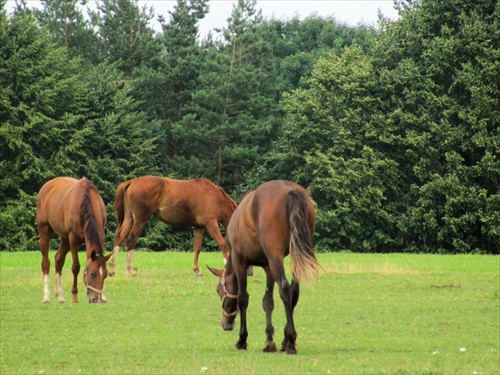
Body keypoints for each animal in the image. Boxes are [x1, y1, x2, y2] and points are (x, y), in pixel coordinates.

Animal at [110, 176, 238, 276]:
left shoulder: (199, 227)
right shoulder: (211, 224)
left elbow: (197, 247)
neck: (215, 196)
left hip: (129, 219)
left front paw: (196, 270)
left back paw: (112, 269)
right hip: (140, 220)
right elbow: (222, 244)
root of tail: (131, 182)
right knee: (131, 239)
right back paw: (130, 270)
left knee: (119, 237)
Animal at [208, 181, 320, 356]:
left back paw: (290, 340)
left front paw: (242, 339)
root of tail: (290, 191)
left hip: (275, 257)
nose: (225, 324)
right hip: (294, 253)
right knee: (294, 292)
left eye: (218, 290)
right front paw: (269, 340)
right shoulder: (268, 267)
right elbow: (268, 302)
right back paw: (287, 341)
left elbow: (243, 298)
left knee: (285, 288)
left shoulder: (240, 262)